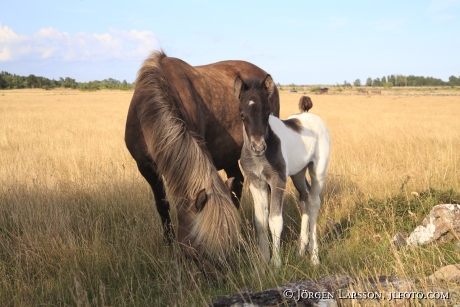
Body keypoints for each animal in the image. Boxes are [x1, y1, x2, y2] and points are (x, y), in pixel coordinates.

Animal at [123, 51, 280, 280]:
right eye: (198, 249)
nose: (224, 278)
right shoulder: (145, 168)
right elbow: (162, 206)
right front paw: (169, 246)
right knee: (237, 183)